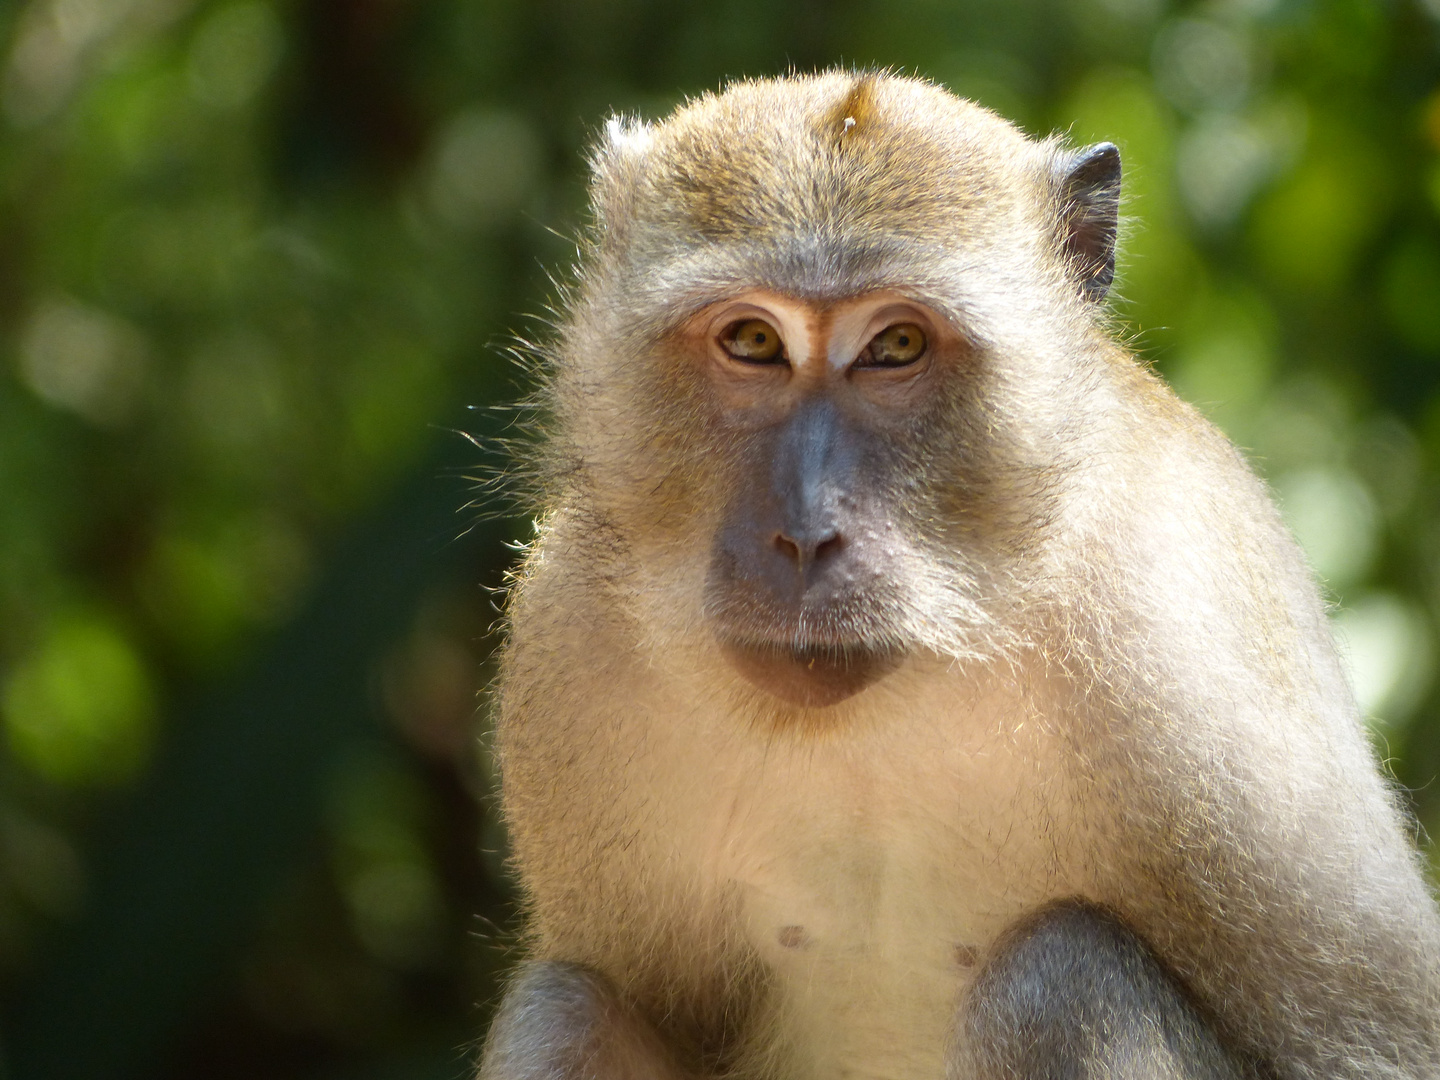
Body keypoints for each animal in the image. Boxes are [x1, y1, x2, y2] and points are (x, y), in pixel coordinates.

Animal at [478, 69, 1440, 1080]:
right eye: (752, 341)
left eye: (895, 347)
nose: (806, 536)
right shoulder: (568, 645)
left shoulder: (1182, 629)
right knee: (569, 1002)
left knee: (1056, 979)